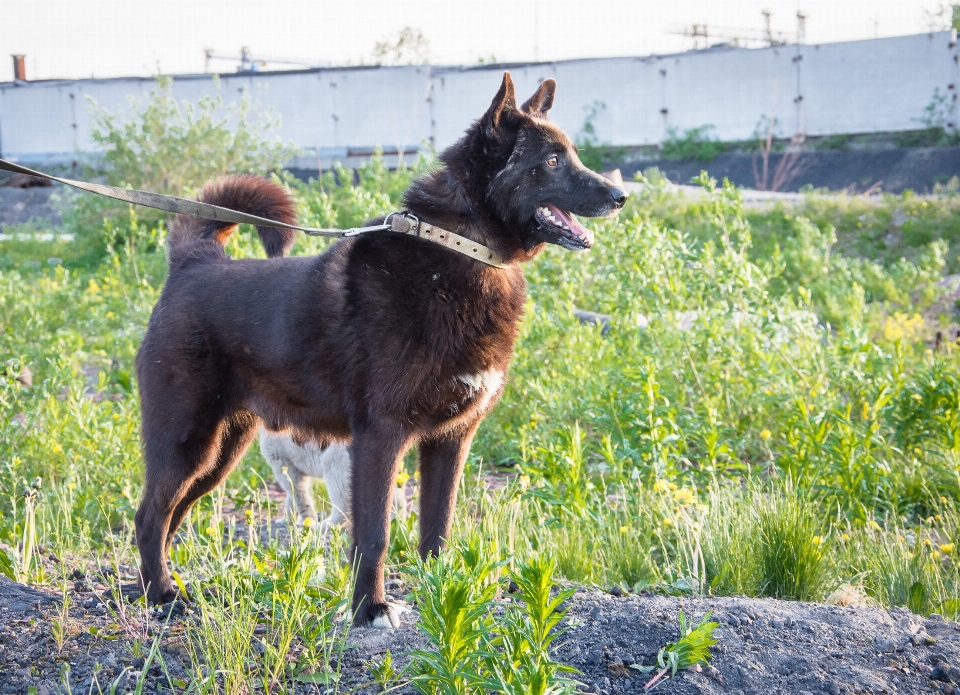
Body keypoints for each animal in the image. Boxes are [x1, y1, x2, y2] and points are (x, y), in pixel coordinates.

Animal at [258, 430, 404, 532]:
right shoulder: (293, 468)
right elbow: (292, 496)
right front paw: (286, 520)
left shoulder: (282, 464)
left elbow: (299, 496)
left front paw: (307, 522)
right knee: (396, 499)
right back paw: (397, 525)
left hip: (335, 464)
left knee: (343, 505)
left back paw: (322, 526)